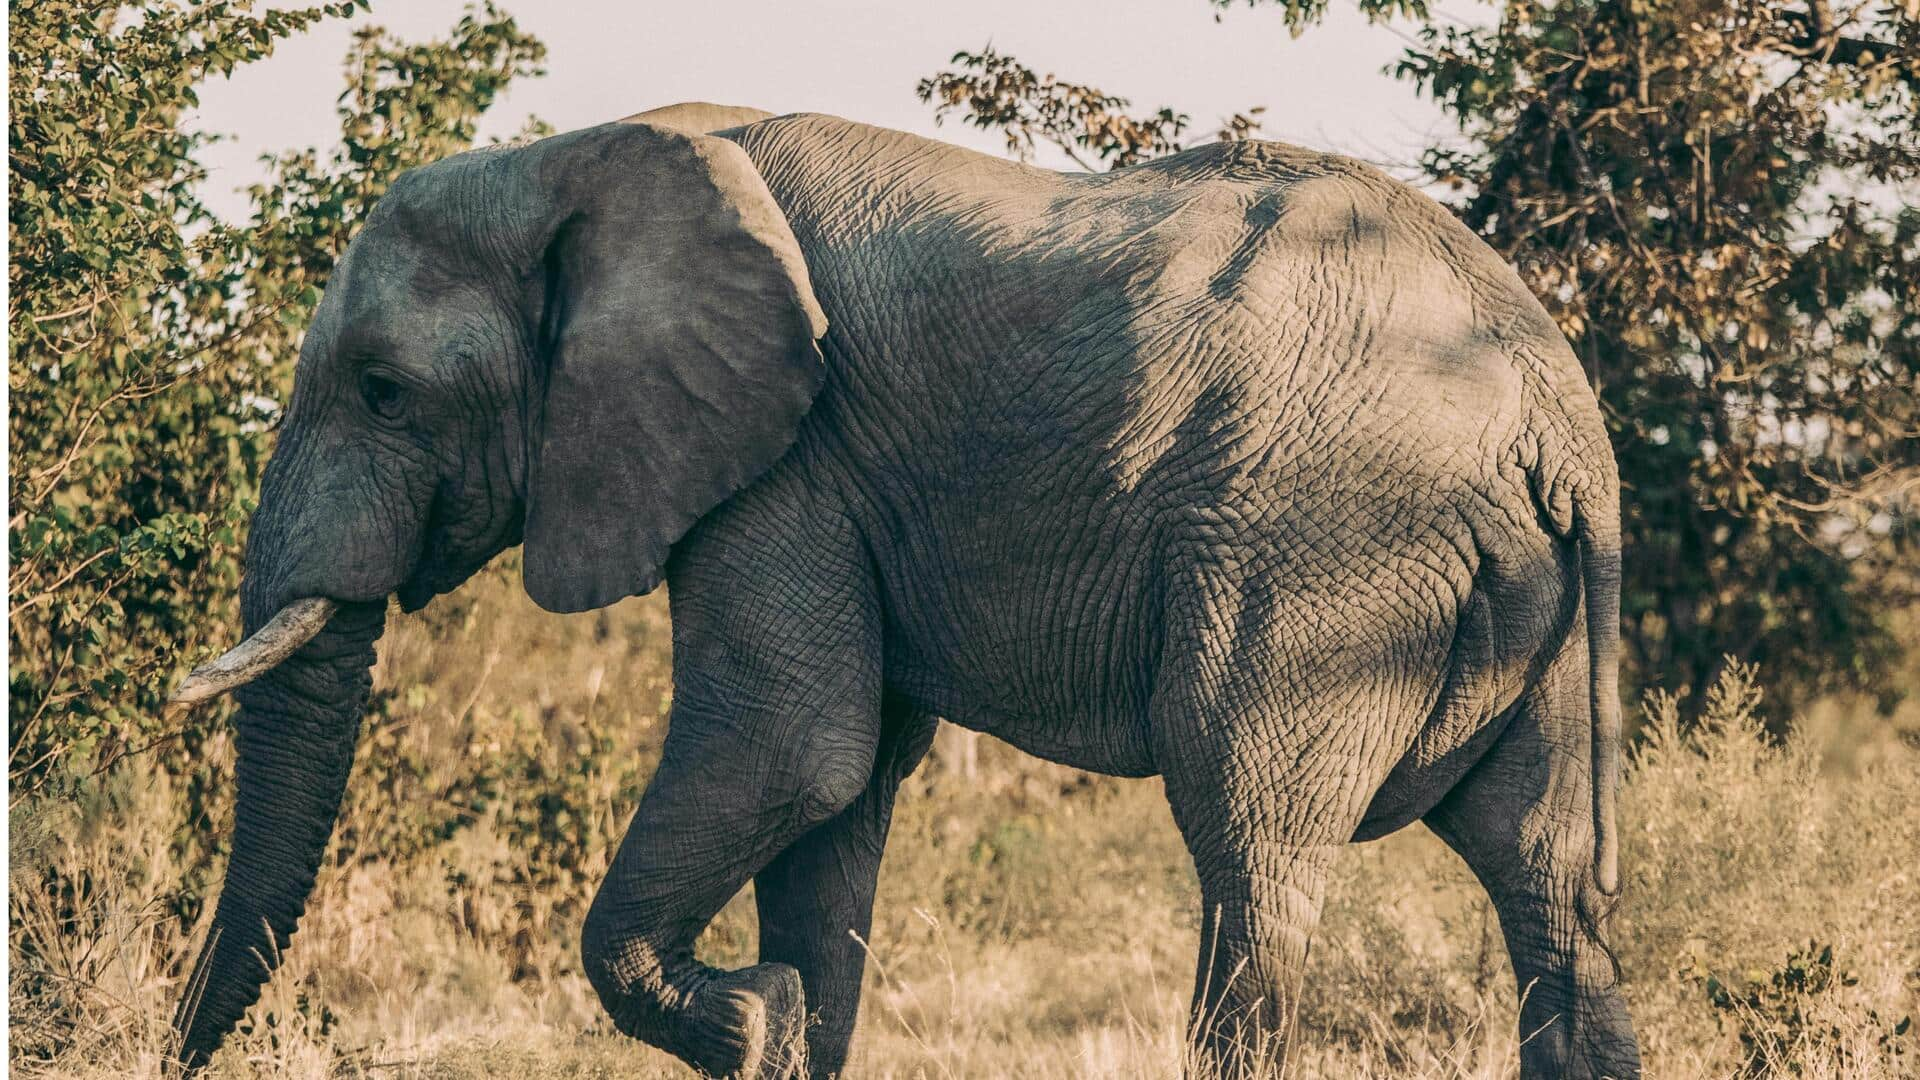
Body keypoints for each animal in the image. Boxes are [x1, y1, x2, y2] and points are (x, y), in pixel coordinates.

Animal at [165, 98, 1643, 1068]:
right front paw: (780, 1015)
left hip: (1317, 548)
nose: (171, 1052)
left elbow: (792, 748)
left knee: (1252, 848)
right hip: (1535, 600)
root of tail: (1553, 410)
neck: (580, 157)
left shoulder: (791, 463)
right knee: (1550, 881)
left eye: (382, 390)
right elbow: (839, 803)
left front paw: (747, 1016)